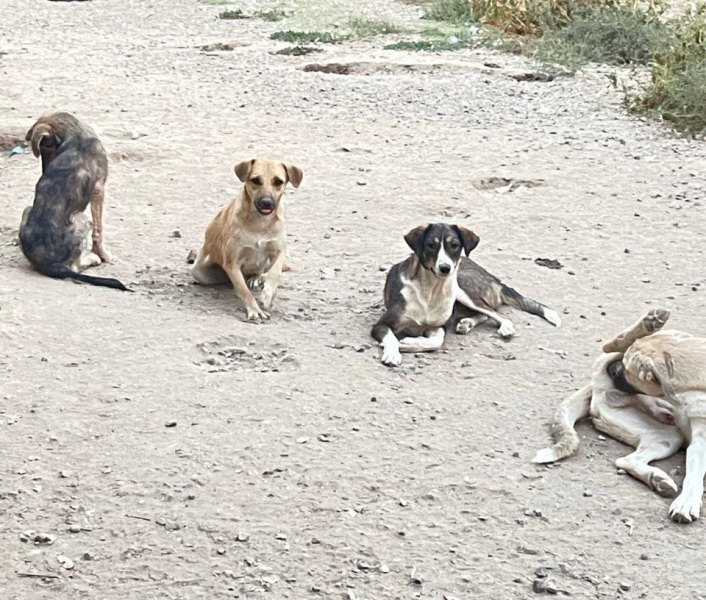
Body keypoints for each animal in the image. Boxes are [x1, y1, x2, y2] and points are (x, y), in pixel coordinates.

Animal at [19, 112, 127, 291]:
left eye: (46, 149)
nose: (43, 172)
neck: (74, 134)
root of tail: (49, 264)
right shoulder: (99, 188)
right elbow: (99, 231)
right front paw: (104, 255)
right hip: (83, 218)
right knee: (75, 267)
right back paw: (93, 258)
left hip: (27, 209)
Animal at [192, 159, 302, 321]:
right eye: (255, 180)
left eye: (278, 181)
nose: (266, 202)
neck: (260, 223)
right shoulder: (232, 263)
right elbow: (244, 291)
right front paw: (254, 309)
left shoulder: (278, 251)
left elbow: (275, 273)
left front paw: (268, 295)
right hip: (198, 270)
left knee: (262, 271)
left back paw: (257, 278)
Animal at [371, 223, 561, 366]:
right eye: (431, 245)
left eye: (454, 245)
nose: (445, 268)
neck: (430, 290)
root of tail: (493, 277)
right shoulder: (382, 324)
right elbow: (391, 338)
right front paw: (393, 353)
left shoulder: (437, 326)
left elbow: (437, 341)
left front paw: (408, 343)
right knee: (485, 314)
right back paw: (467, 323)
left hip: (463, 290)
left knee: (495, 314)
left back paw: (502, 327)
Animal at [533, 308, 706, 523]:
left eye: (630, 373)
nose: (614, 370)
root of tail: (595, 384)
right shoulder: (699, 443)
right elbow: (694, 473)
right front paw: (686, 503)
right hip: (667, 433)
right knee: (608, 350)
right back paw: (649, 323)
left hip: (665, 437)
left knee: (627, 460)